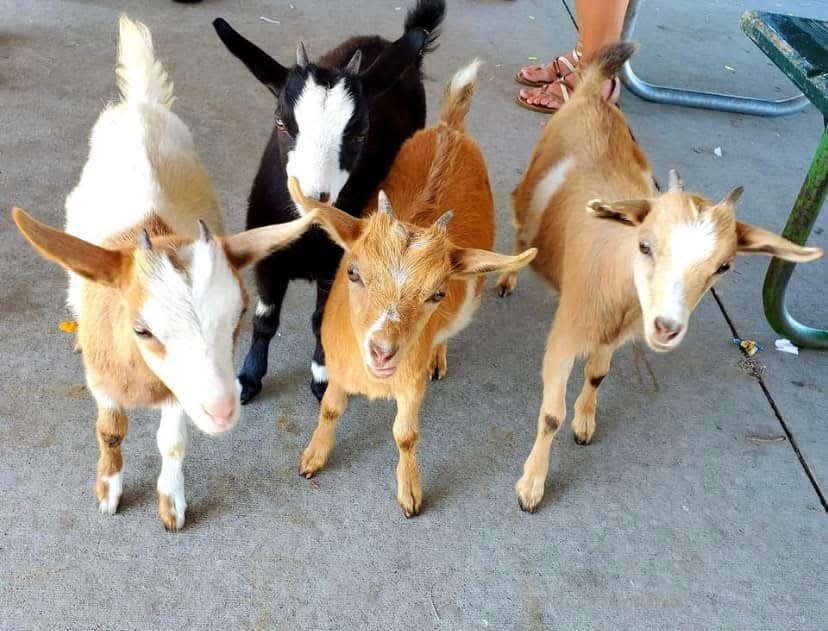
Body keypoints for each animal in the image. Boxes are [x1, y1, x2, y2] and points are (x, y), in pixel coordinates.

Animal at [11, 14, 316, 532]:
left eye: (238, 318)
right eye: (142, 329)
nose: (223, 410)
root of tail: (143, 104)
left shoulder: (177, 395)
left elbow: (171, 442)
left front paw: (171, 504)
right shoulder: (104, 385)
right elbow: (110, 431)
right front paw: (109, 490)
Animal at [213, 0, 446, 404]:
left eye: (360, 133)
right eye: (281, 123)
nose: (314, 199)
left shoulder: (339, 266)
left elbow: (321, 320)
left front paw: (323, 378)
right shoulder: (269, 261)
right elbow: (265, 319)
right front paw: (249, 378)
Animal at [288, 58, 536, 520]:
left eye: (437, 293)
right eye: (353, 272)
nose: (384, 350)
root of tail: (450, 128)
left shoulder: (411, 385)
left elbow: (405, 435)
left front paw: (410, 491)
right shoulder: (337, 367)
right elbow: (330, 408)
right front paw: (313, 457)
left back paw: (439, 356)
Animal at [498, 43, 828, 512]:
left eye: (723, 267)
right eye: (645, 245)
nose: (667, 327)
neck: (617, 282)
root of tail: (590, 92)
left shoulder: (617, 336)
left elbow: (597, 375)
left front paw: (585, 422)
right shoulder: (565, 337)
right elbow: (549, 415)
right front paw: (531, 486)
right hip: (531, 194)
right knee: (520, 225)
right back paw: (508, 275)